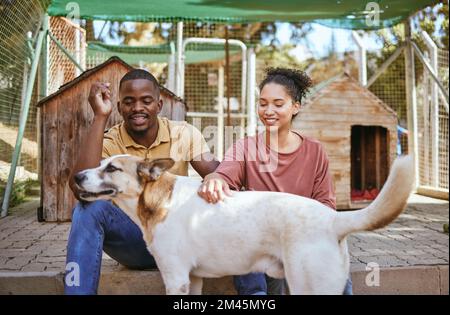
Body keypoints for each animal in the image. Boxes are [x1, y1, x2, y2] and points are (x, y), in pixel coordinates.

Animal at [74, 156, 414, 296]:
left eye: (112, 168)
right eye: (100, 163)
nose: (76, 176)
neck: (158, 199)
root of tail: (332, 218)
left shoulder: (176, 278)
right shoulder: (192, 280)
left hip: (310, 286)